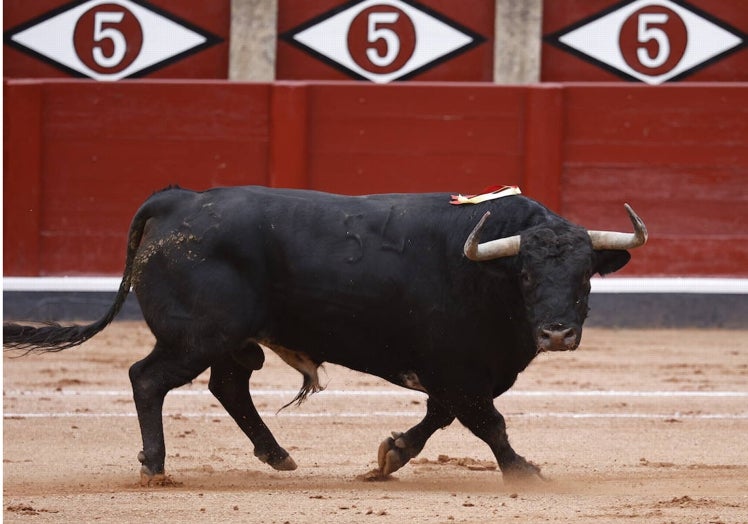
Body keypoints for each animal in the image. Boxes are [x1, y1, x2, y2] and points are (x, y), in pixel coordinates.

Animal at [2, 186, 644, 486]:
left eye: (585, 275)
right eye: (527, 274)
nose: (557, 333)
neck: (486, 271)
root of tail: (178, 197)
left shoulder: (457, 374)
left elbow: (440, 417)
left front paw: (390, 455)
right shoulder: (459, 368)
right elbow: (488, 422)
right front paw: (522, 471)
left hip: (233, 341)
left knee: (227, 385)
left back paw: (277, 455)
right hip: (197, 336)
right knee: (148, 378)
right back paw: (156, 468)